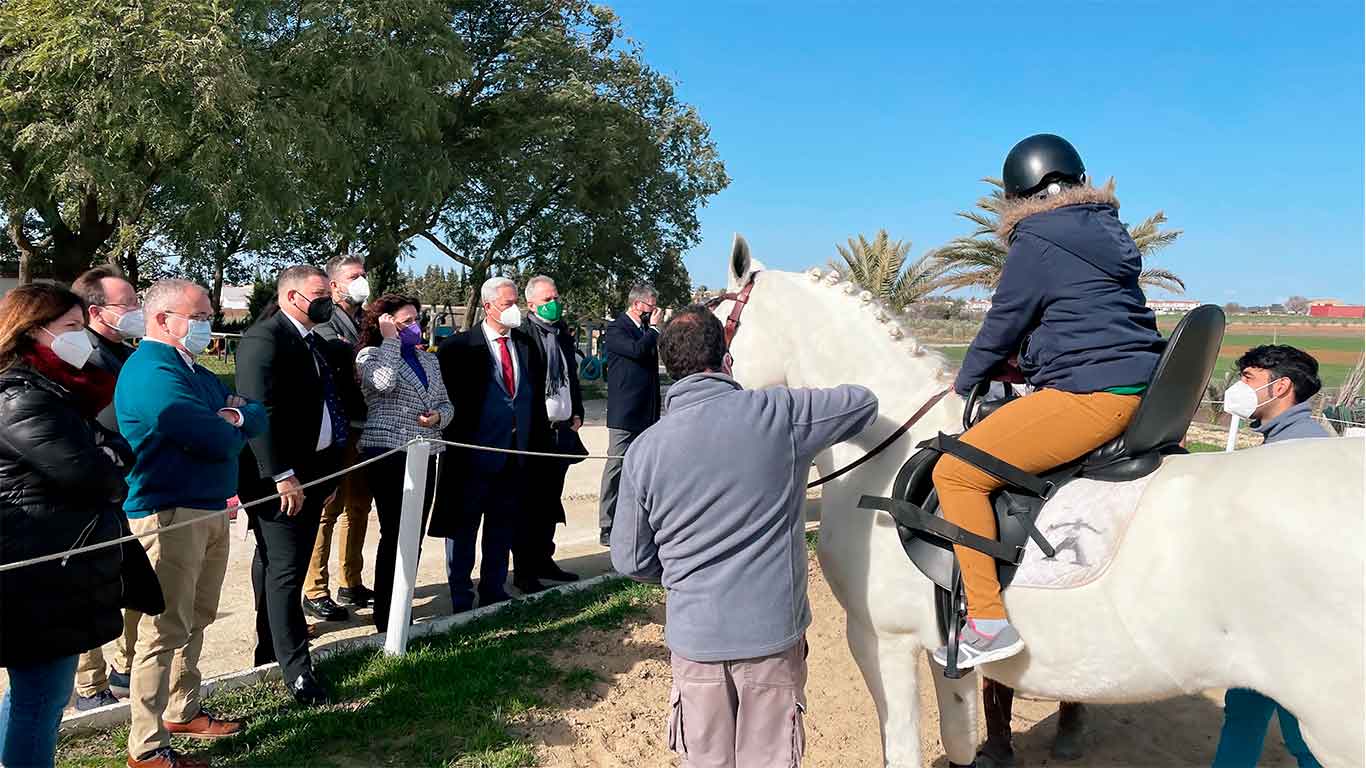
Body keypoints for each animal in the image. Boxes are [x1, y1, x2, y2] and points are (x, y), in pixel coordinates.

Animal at [710, 235, 1365, 767]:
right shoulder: (939, 653)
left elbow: (902, 749)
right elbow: (959, 738)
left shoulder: (882, 642)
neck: (886, 444)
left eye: (715, 325)